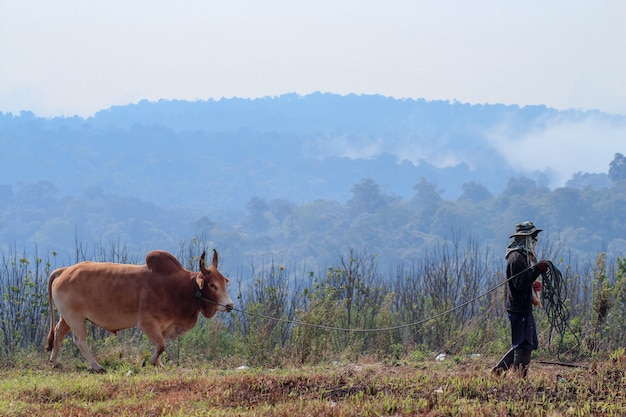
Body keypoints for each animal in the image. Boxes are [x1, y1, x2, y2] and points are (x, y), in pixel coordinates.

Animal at [45, 249, 233, 372]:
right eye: (212, 284)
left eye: (224, 281)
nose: (229, 305)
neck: (179, 287)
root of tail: (64, 270)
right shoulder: (147, 323)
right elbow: (161, 346)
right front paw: (148, 362)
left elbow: (160, 346)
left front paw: (159, 364)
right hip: (74, 316)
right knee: (80, 341)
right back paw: (97, 366)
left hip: (67, 317)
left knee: (59, 333)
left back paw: (55, 362)